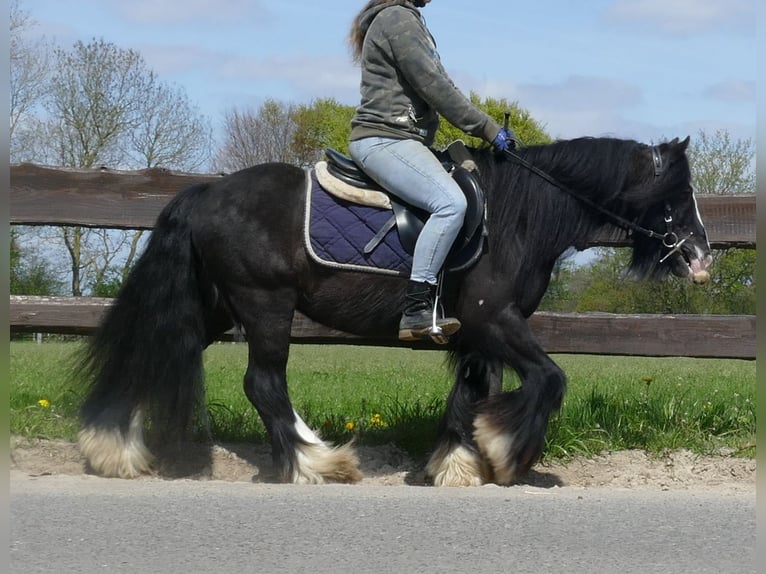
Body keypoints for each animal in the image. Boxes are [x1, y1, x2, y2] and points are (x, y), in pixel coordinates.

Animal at [76, 135, 712, 486]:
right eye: (677, 198)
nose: (702, 257)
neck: (517, 217)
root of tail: (207, 192)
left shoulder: (474, 334)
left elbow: (470, 395)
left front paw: (458, 464)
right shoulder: (494, 320)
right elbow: (551, 379)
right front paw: (505, 453)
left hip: (216, 308)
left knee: (152, 351)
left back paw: (113, 446)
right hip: (265, 306)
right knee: (263, 383)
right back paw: (315, 462)